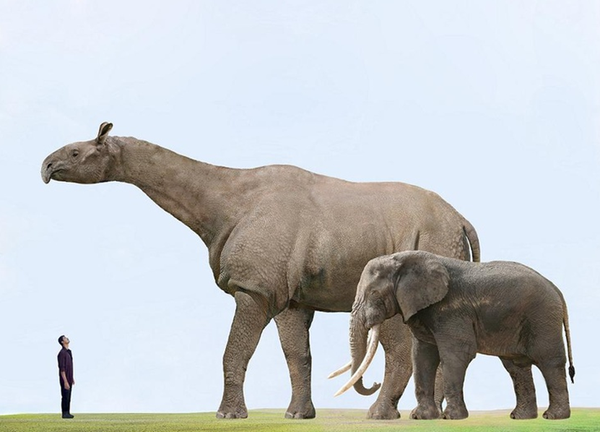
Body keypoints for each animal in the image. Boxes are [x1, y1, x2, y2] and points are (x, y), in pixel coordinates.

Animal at [42, 121, 480, 418]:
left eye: (77, 154)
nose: (45, 168)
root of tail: (460, 218)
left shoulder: (253, 287)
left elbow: (235, 350)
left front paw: (227, 416)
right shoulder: (287, 295)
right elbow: (296, 355)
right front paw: (298, 416)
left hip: (426, 240)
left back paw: (385, 417)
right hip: (429, 239)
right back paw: (428, 417)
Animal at [336, 251, 576, 420]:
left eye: (374, 293)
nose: (375, 383)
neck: (403, 259)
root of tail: (558, 291)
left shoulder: (450, 310)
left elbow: (456, 355)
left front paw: (450, 418)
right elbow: (422, 356)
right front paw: (421, 417)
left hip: (543, 318)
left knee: (549, 361)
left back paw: (553, 417)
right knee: (516, 367)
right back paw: (520, 417)